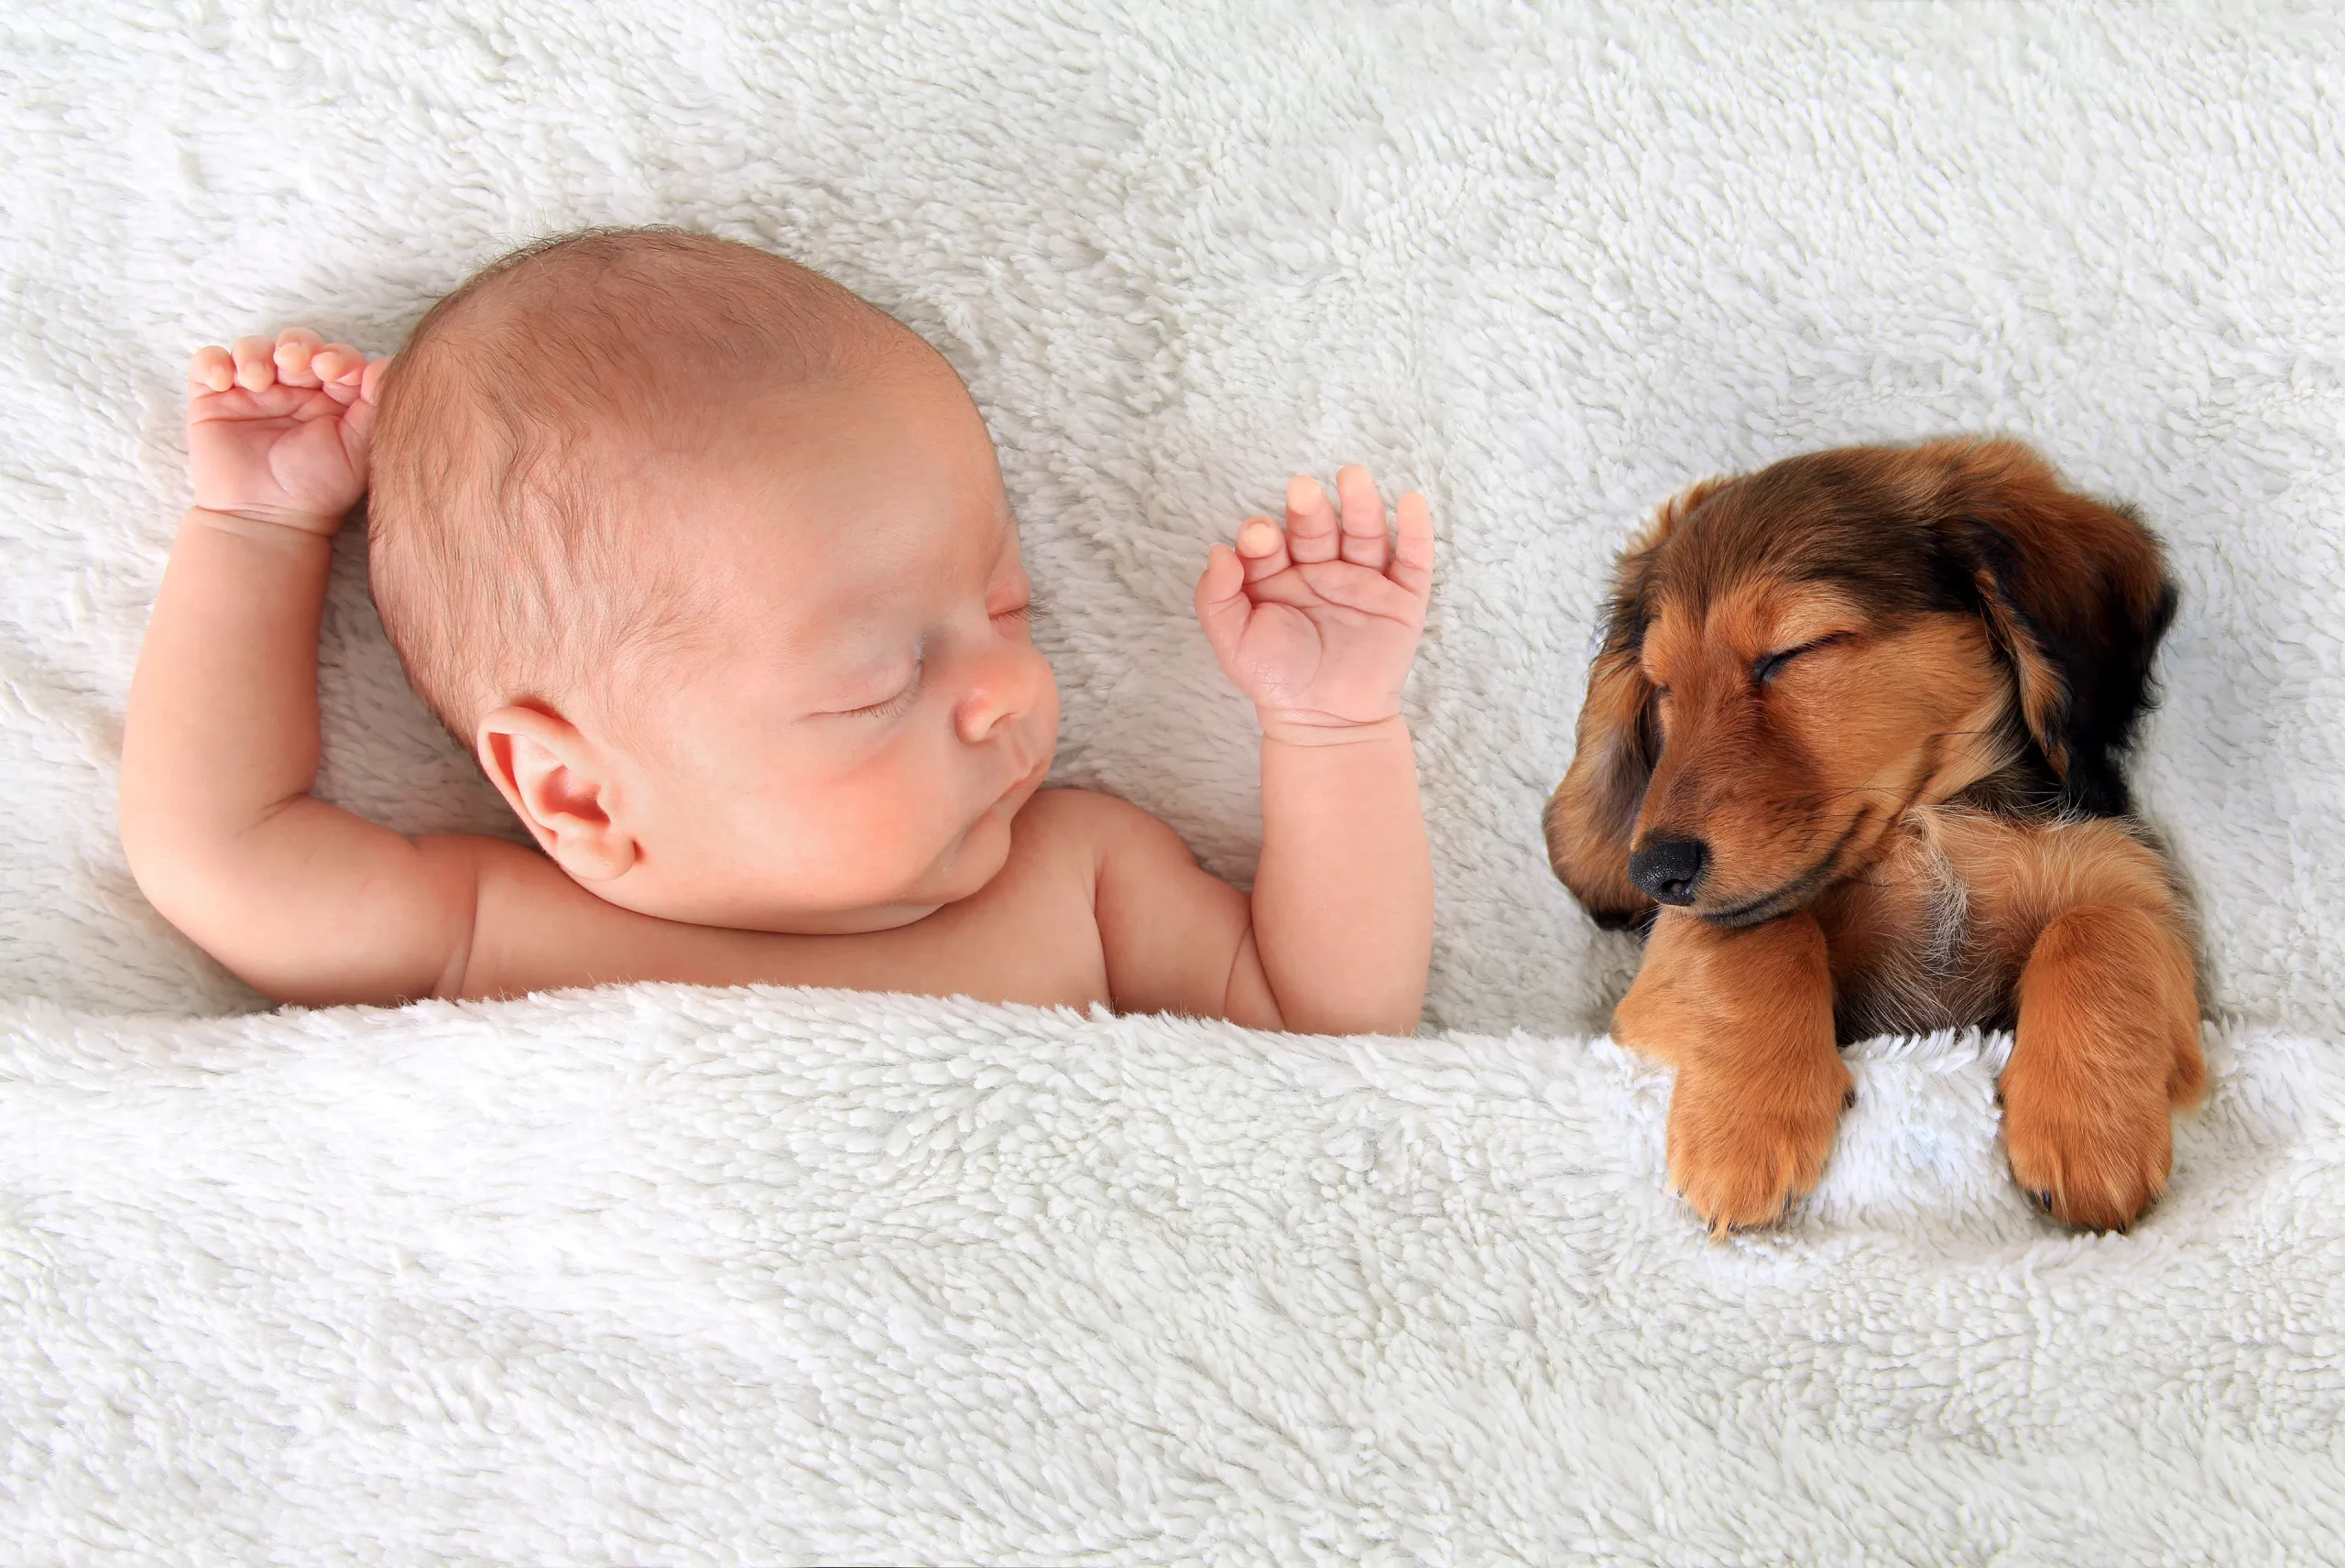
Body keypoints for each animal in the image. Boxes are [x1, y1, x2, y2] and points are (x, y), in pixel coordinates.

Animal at [1547, 438, 2204, 1237]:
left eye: (1794, 651)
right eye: (1664, 687)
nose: (1655, 872)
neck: (1924, 829)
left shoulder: (2134, 879)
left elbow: (2100, 927)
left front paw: (2089, 1132)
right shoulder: (1676, 954)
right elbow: (1761, 934)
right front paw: (1743, 1130)